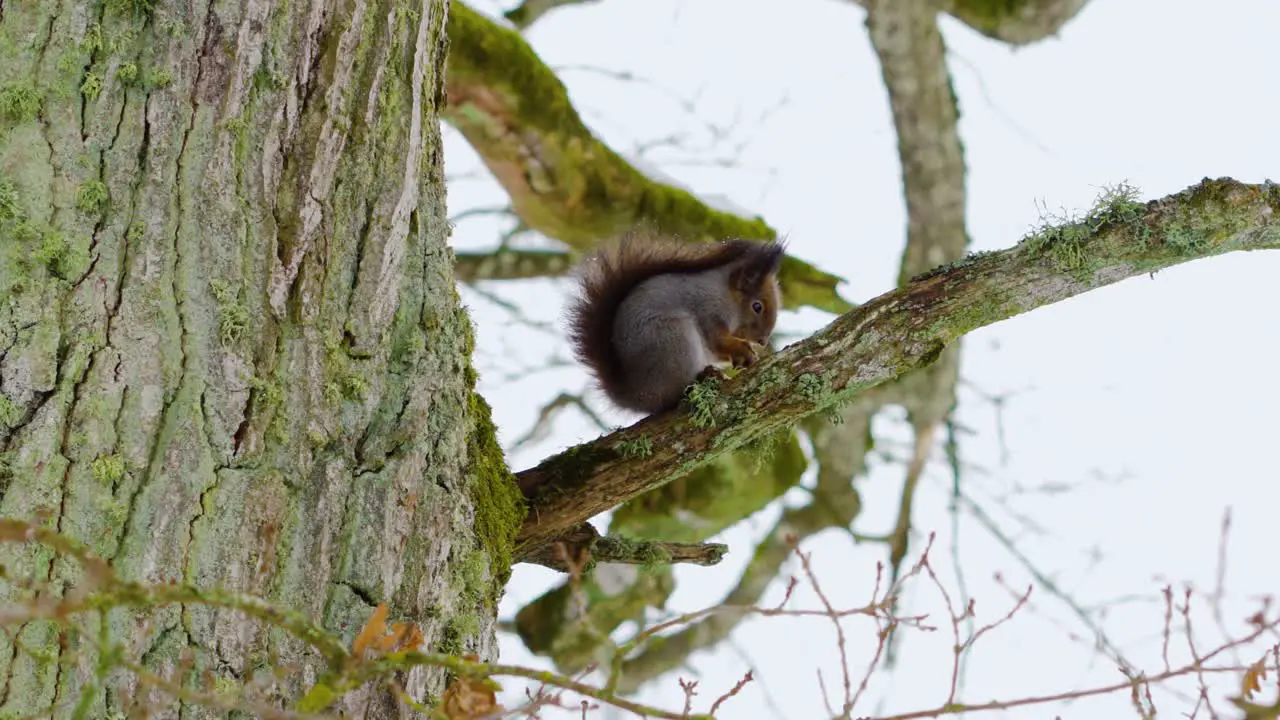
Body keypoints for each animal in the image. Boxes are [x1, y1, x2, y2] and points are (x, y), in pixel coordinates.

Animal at [568, 229, 783, 415]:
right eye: (757, 306)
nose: (764, 340)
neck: (725, 294)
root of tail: (637, 395)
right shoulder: (707, 310)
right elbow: (717, 340)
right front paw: (743, 349)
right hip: (674, 339)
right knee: (672, 396)